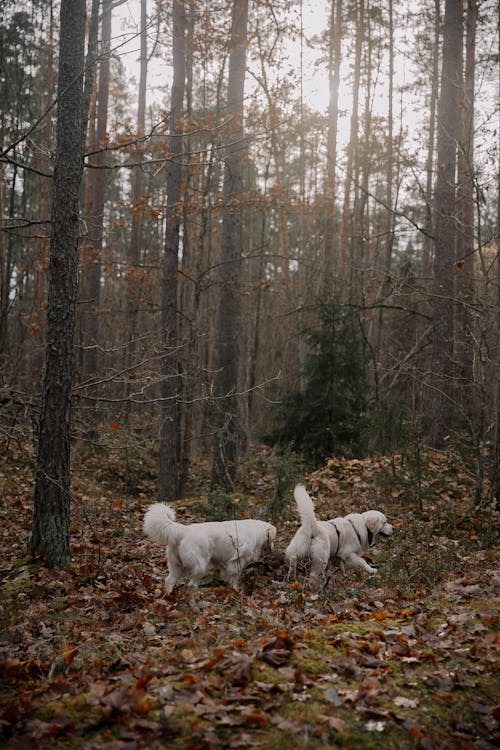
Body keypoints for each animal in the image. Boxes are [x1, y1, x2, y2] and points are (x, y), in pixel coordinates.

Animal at [144, 502, 278, 596]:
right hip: (199, 566)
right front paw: (236, 590)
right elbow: (234, 577)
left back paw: (168, 596)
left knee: (169, 581)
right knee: (191, 585)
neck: (256, 531)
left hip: (176, 566)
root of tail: (184, 530)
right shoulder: (237, 561)